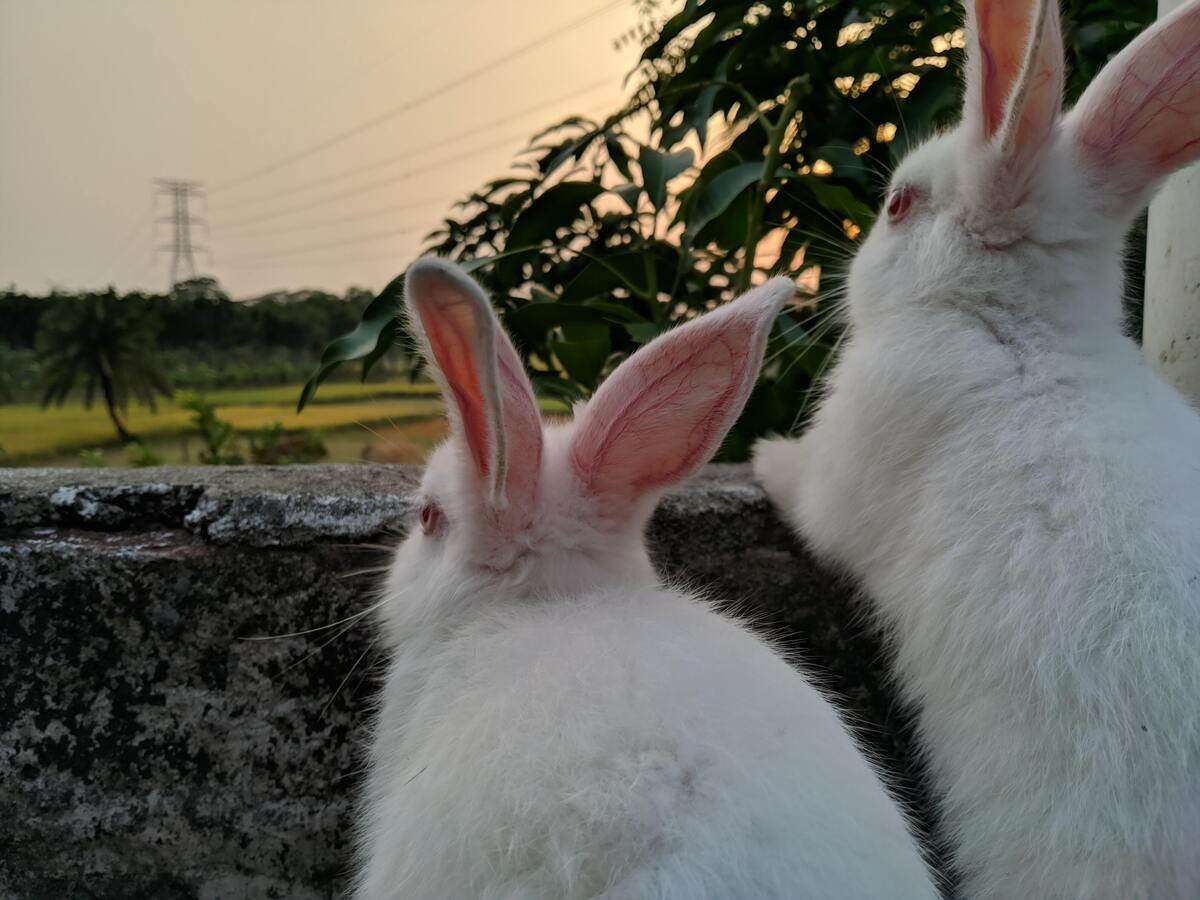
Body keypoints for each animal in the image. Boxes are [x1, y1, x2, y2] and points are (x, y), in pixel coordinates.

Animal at [753, 1, 1200, 900]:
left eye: (897, 205)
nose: (845, 269)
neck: (1015, 326)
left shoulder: (849, 461)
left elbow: (809, 502)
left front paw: (761, 454)